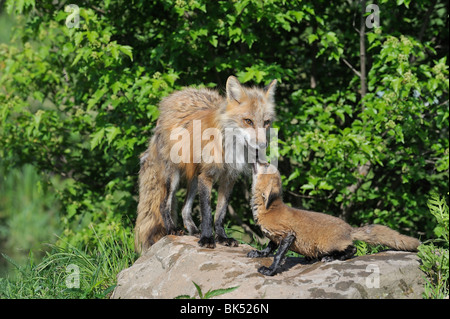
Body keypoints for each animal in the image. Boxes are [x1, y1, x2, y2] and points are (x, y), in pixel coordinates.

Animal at [134, 76, 278, 254]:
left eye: (266, 122)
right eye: (248, 121)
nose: (263, 146)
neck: (229, 145)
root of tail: (171, 99)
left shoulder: (228, 179)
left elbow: (220, 213)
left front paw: (222, 238)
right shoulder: (207, 176)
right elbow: (207, 213)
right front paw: (208, 239)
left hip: (194, 178)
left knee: (184, 209)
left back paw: (193, 231)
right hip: (173, 176)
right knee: (163, 205)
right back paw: (172, 229)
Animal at [248, 162, 420, 278]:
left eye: (265, 165)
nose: (257, 155)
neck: (268, 209)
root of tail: (349, 229)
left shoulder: (287, 234)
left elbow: (278, 255)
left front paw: (270, 270)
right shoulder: (275, 236)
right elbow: (269, 248)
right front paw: (259, 253)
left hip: (325, 245)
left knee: (353, 249)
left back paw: (331, 257)